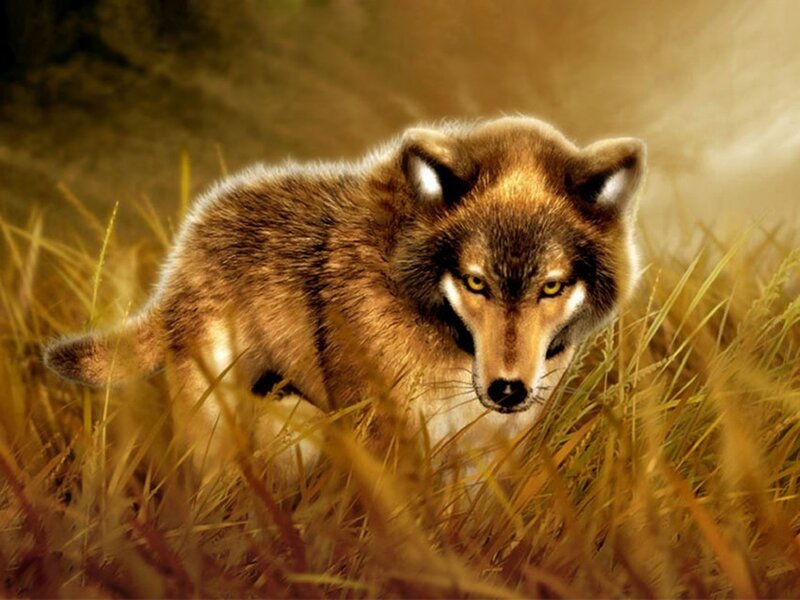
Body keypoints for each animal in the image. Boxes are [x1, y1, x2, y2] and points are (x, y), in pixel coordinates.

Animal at [44, 116, 646, 475]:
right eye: (476, 282)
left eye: (551, 286)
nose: (508, 391)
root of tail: (190, 237)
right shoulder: (384, 445)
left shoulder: (486, 460)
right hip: (222, 426)